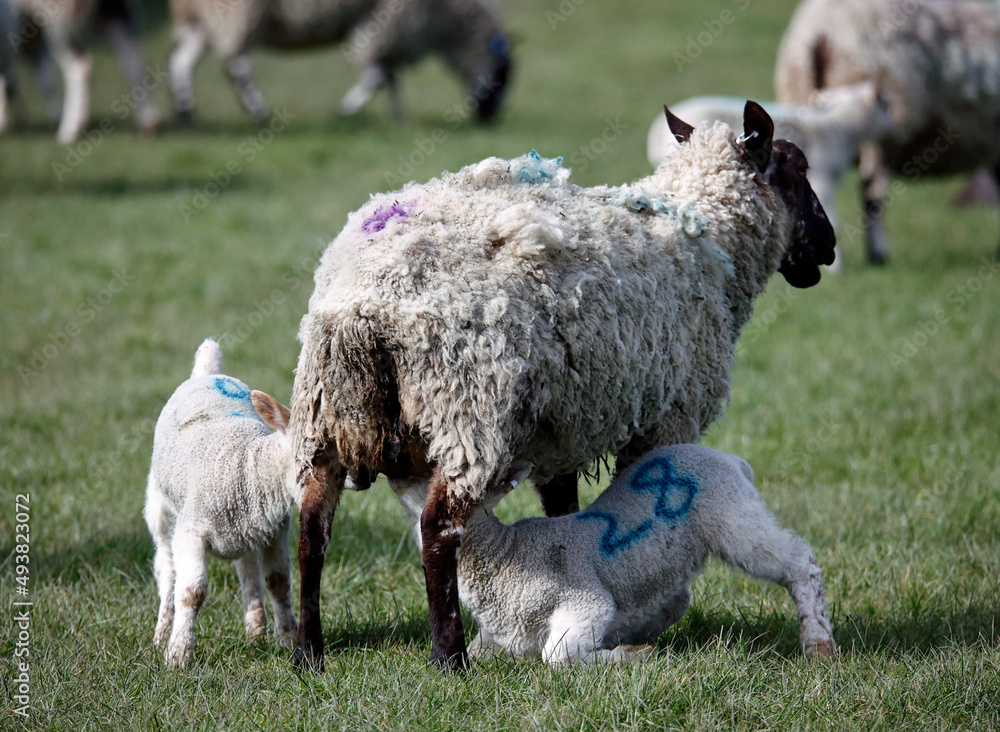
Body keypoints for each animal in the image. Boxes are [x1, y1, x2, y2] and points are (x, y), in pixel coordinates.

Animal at [7, 0, 161, 144]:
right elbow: (42, 79)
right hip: (118, 14)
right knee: (135, 63)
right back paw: (148, 124)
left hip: (61, 18)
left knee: (80, 68)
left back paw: (69, 131)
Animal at [144, 339, 298, 669]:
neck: (248, 467)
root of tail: (207, 373)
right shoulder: (190, 532)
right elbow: (191, 592)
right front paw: (178, 655)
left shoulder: (277, 529)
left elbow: (279, 581)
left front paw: (290, 640)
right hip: (160, 510)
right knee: (166, 569)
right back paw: (162, 633)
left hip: (247, 530)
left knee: (248, 569)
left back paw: (256, 631)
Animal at [168, 0, 511, 124]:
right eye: (501, 75)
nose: (489, 119)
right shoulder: (380, 23)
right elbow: (376, 75)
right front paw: (347, 109)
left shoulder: (388, 33)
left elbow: (389, 77)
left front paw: (396, 115)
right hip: (238, 13)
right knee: (236, 64)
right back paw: (258, 111)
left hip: (202, 20)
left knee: (181, 62)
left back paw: (186, 110)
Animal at [392, 445, 836, 664]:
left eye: (439, 481)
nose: (395, 471)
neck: (503, 555)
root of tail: (733, 459)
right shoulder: (499, 631)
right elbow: (481, 649)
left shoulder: (584, 601)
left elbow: (556, 656)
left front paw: (625, 658)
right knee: (676, 599)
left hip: (733, 516)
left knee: (798, 561)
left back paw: (818, 644)